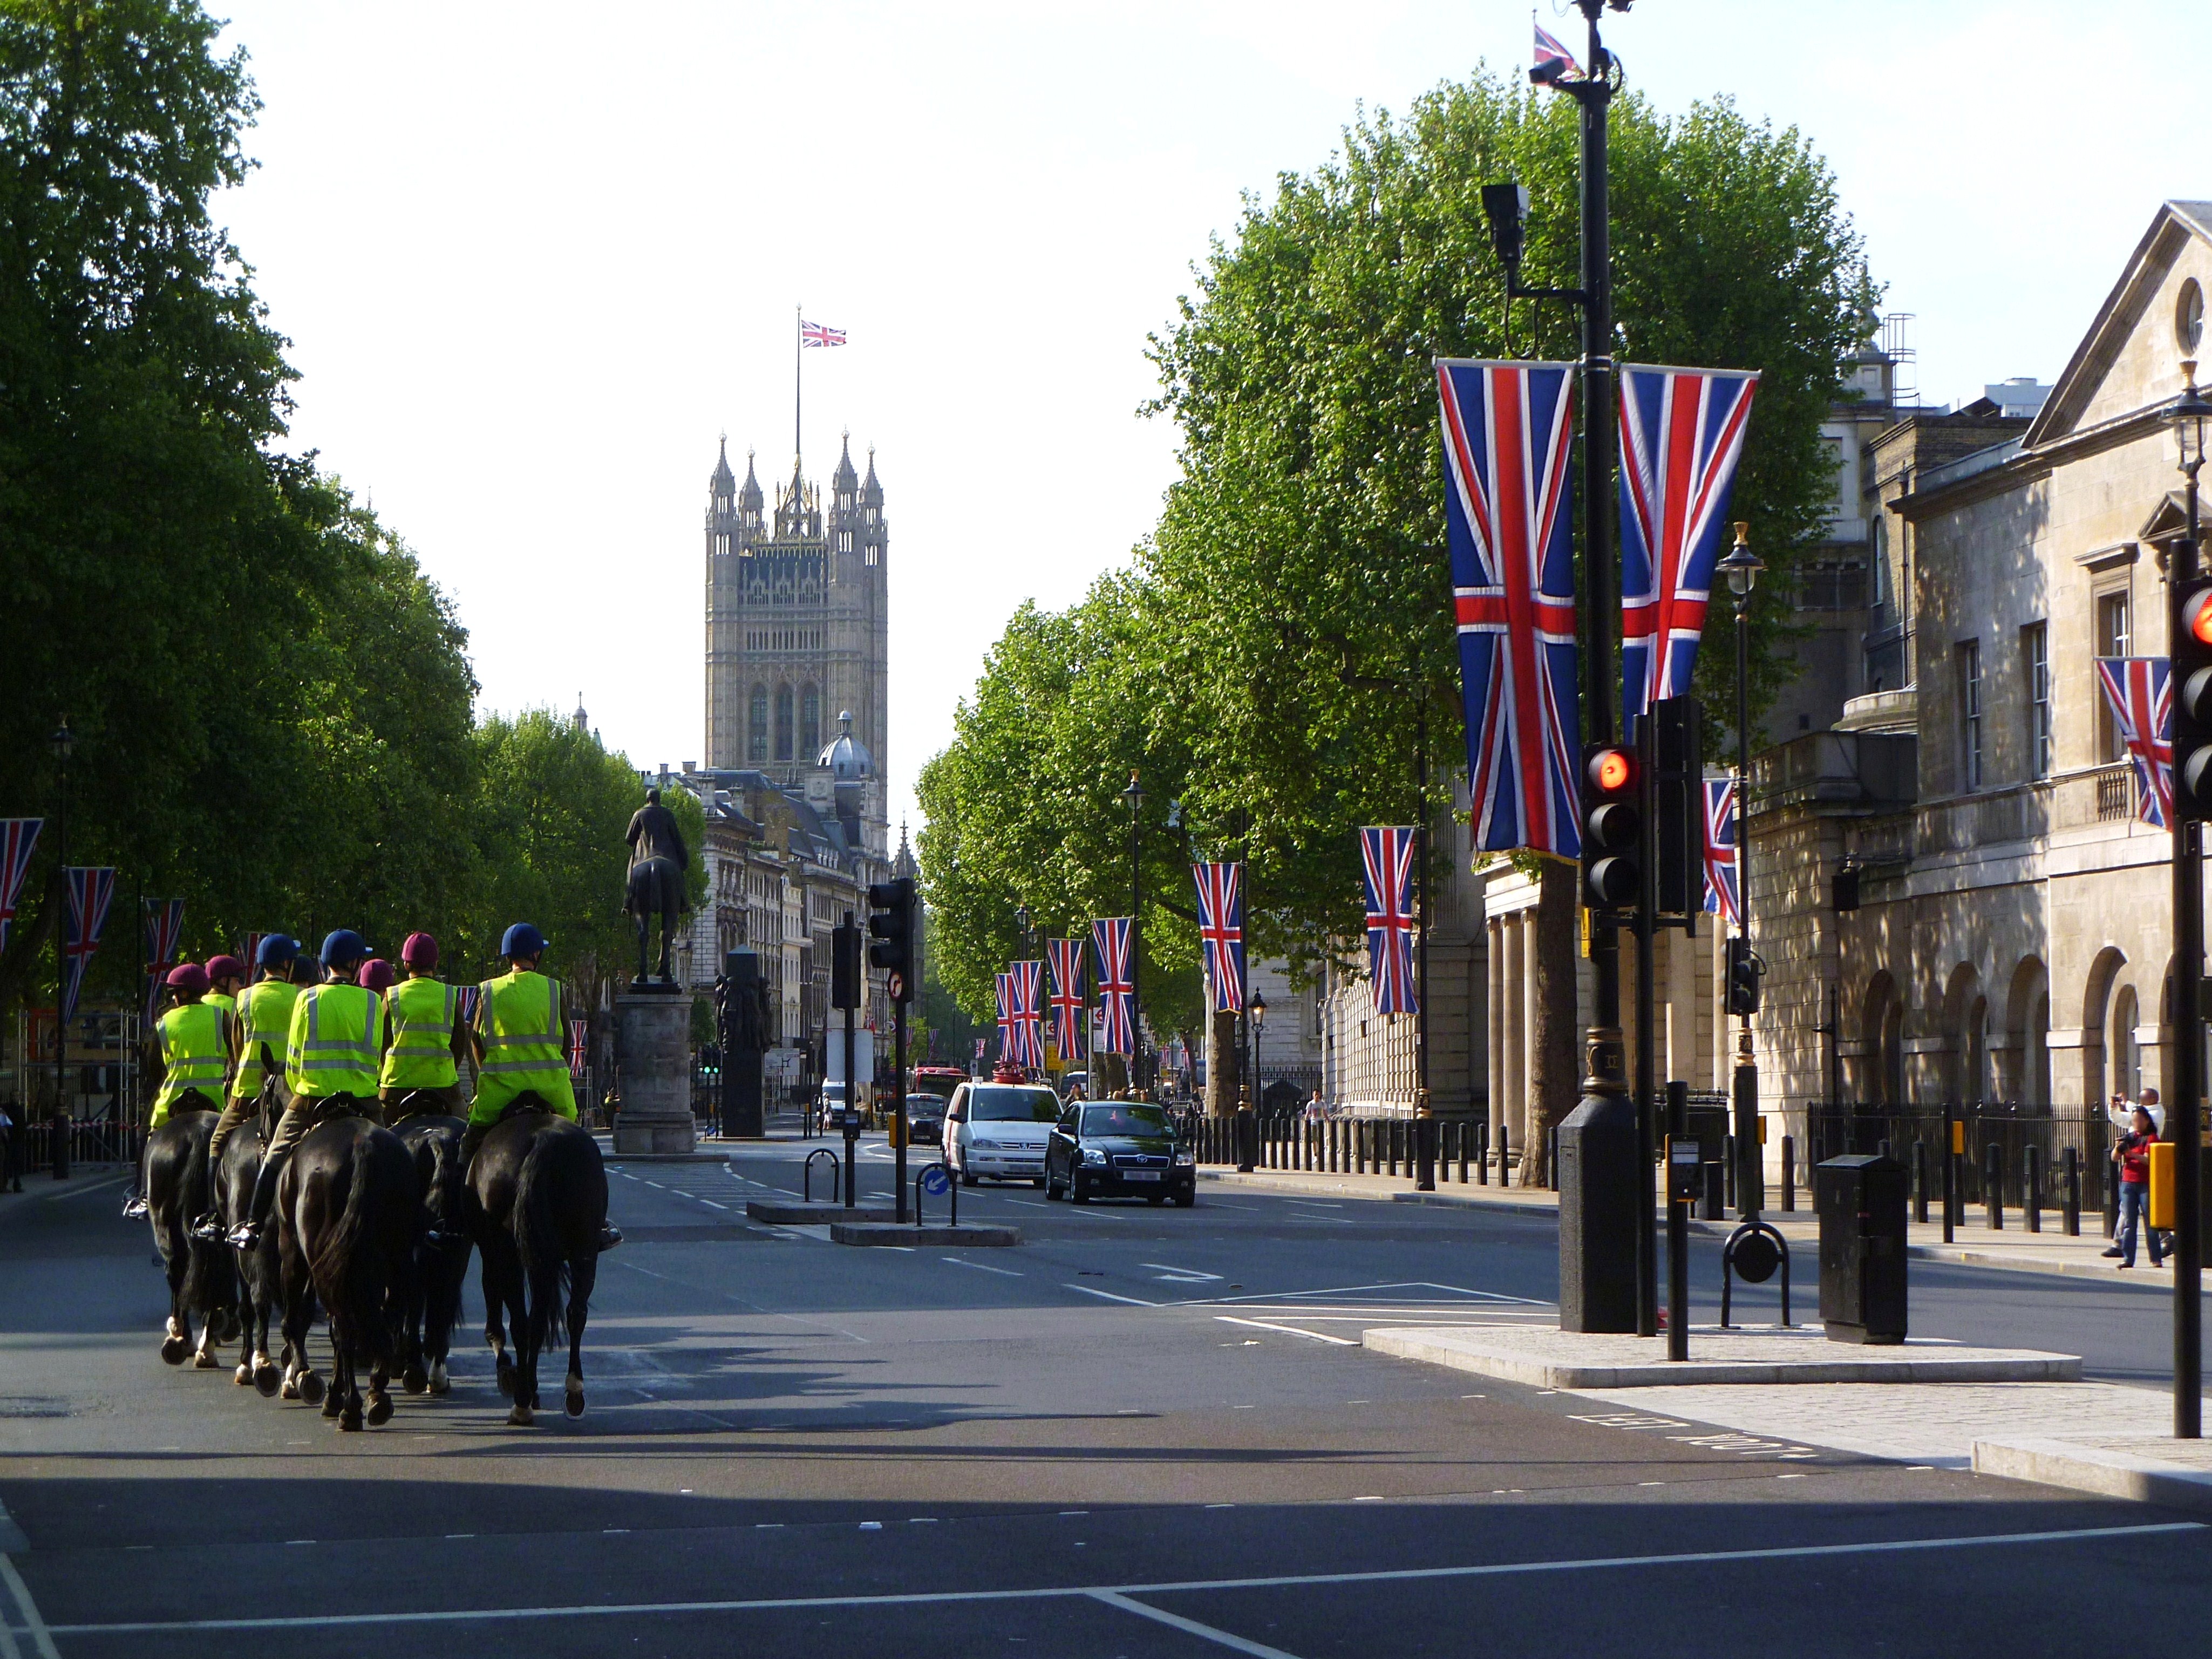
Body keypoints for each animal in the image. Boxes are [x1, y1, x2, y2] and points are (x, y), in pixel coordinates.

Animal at [276, 1119, 418, 1433]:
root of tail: (362, 1145)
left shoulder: (292, 1250)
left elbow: (298, 1320)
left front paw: (306, 1376)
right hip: (396, 1256)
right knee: (389, 1314)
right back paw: (377, 1394)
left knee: (345, 1327)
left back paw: (349, 1408)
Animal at [468, 1106, 606, 1433]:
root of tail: (541, 1143)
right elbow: (540, 1318)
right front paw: (531, 1384)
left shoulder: (493, 1251)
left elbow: (500, 1307)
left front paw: (511, 1374)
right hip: (583, 1248)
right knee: (574, 1314)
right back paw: (573, 1391)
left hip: (507, 1249)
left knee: (520, 1322)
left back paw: (521, 1403)